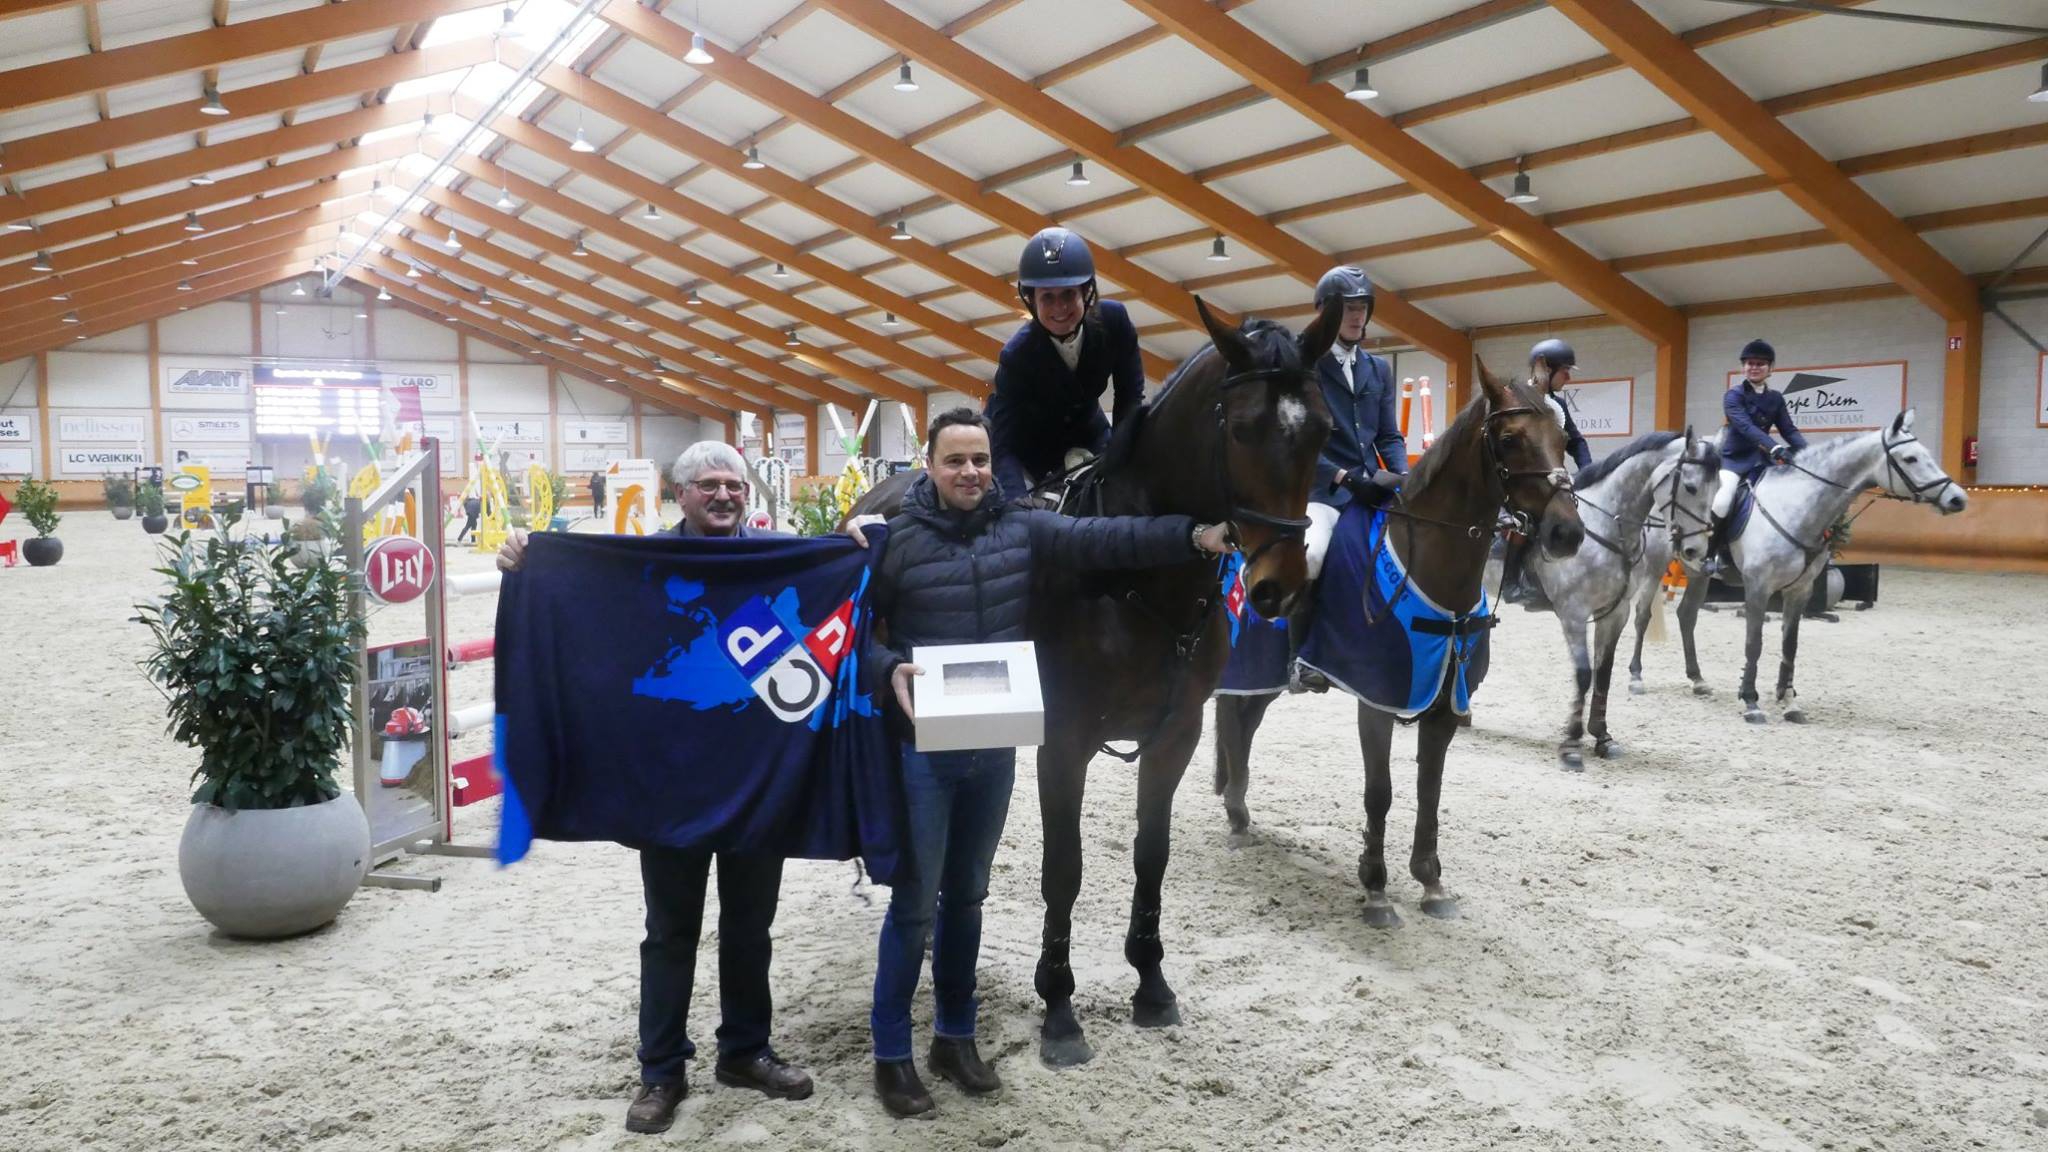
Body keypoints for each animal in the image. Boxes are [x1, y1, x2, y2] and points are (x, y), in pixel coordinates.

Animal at [851, 293, 1343, 1057]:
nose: (1277, 588)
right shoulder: (1064, 743)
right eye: (1241, 429)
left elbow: (1151, 854)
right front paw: (1058, 1006)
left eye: (1321, 429)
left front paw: (1151, 984)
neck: (1134, 580)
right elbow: (1065, 870)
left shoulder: (1176, 735)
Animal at [1212, 364, 1581, 922]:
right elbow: (1380, 792)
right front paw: (1375, 889)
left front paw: (1430, 883)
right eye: (1510, 440)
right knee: (1234, 720)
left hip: (1269, 678)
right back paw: (1236, 819)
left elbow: (1430, 790)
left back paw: (1239, 807)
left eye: (1562, 439)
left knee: (1245, 723)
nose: (1567, 533)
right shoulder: (1377, 698)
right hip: (1248, 660)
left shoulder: (1446, 705)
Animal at [1531, 426, 1720, 766]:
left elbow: (1603, 672)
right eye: (1690, 486)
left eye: (1720, 487)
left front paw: (1602, 737)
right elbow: (1583, 673)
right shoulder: (1573, 613)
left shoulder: (1614, 612)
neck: (1604, 528)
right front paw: (1571, 742)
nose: (1697, 552)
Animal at [1662, 409, 1966, 717]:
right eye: (1910, 458)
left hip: (1699, 574)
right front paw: (1750, 700)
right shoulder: (1758, 587)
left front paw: (1788, 700)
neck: (1795, 507)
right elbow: (1754, 642)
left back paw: (1698, 679)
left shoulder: (1800, 590)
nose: (1958, 499)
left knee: (1687, 615)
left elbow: (1791, 644)